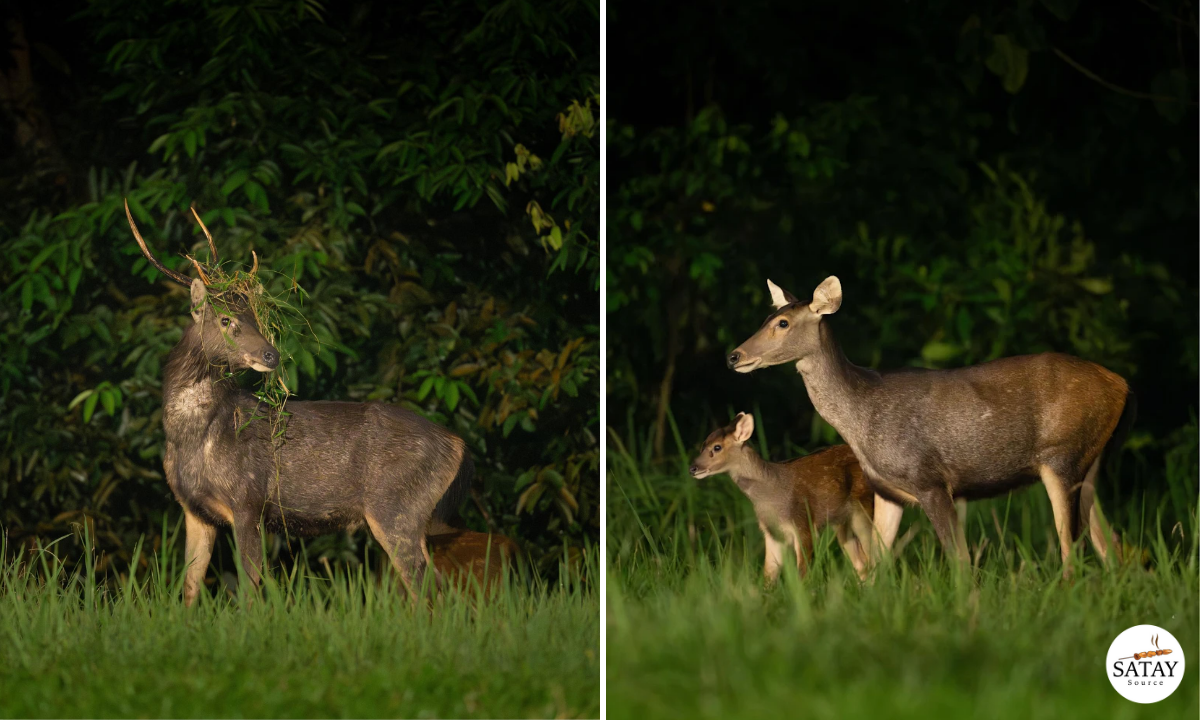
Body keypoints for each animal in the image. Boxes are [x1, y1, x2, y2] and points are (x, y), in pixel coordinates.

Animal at [125, 200, 474, 605]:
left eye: (254, 316)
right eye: (226, 319)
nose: (271, 354)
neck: (194, 438)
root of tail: (458, 444)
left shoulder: (248, 499)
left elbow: (249, 587)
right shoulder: (193, 510)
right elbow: (190, 587)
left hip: (398, 507)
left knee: (427, 587)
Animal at [689, 412, 904, 582]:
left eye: (717, 447)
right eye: (702, 445)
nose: (693, 468)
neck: (771, 493)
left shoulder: (804, 523)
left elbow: (803, 571)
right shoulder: (772, 532)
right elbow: (769, 574)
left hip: (864, 510)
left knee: (878, 553)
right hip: (842, 522)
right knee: (861, 563)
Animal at [726, 276, 1133, 579]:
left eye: (783, 323)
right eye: (766, 318)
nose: (734, 356)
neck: (862, 419)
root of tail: (1121, 385)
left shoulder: (930, 479)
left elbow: (960, 560)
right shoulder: (887, 490)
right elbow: (875, 566)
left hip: (1062, 457)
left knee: (1073, 551)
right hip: (1089, 464)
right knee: (1111, 544)